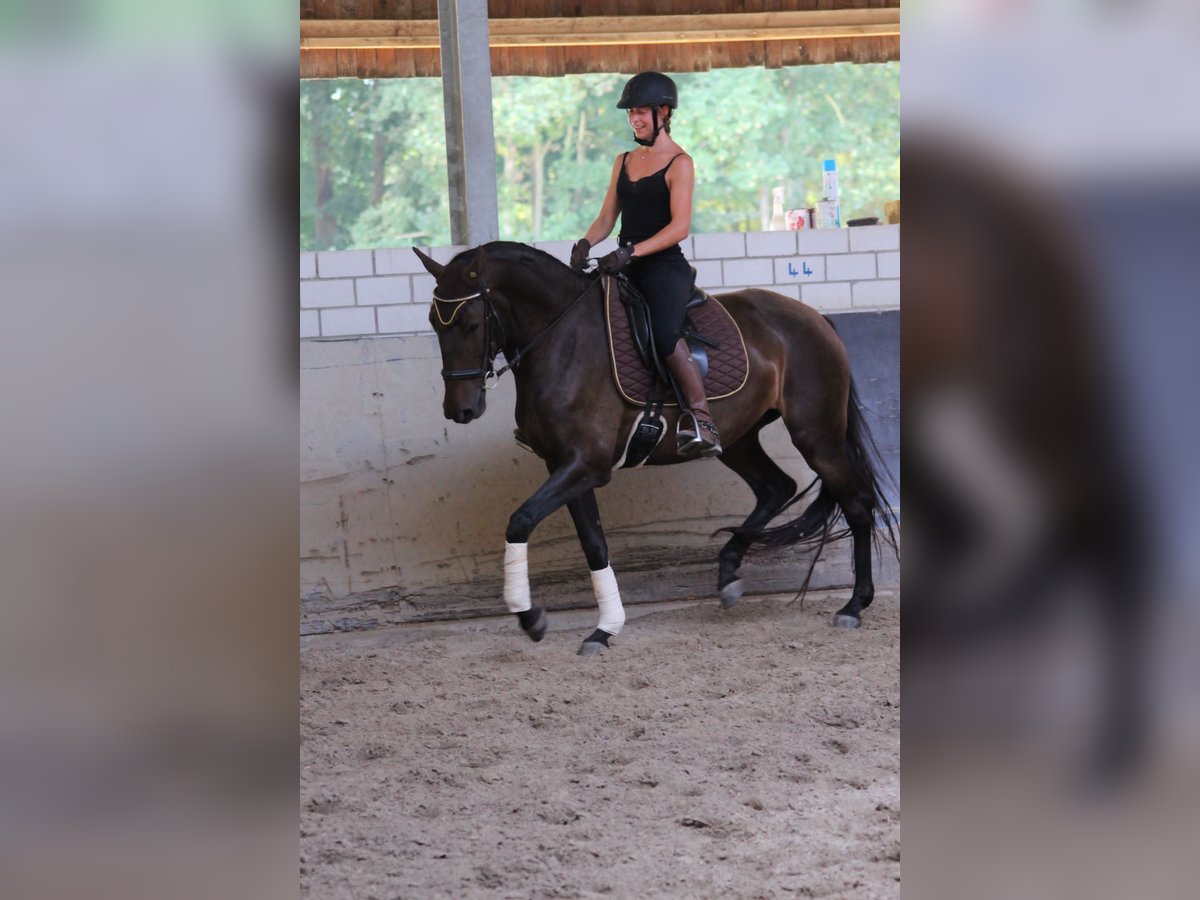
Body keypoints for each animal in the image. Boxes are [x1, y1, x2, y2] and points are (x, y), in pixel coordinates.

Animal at [417, 243, 897, 657]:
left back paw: (854, 605)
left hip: (816, 434)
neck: (563, 341)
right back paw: (728, 572)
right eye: (434, 323)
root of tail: (813, 316)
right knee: (775, 487)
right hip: (737, 438)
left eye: (472, 324)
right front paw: (604, 629)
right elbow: (594, 544)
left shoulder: (585, 465)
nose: (460, 409)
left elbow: (520, 520)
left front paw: (530, 616)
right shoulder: (566, 465)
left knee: (856, 503)